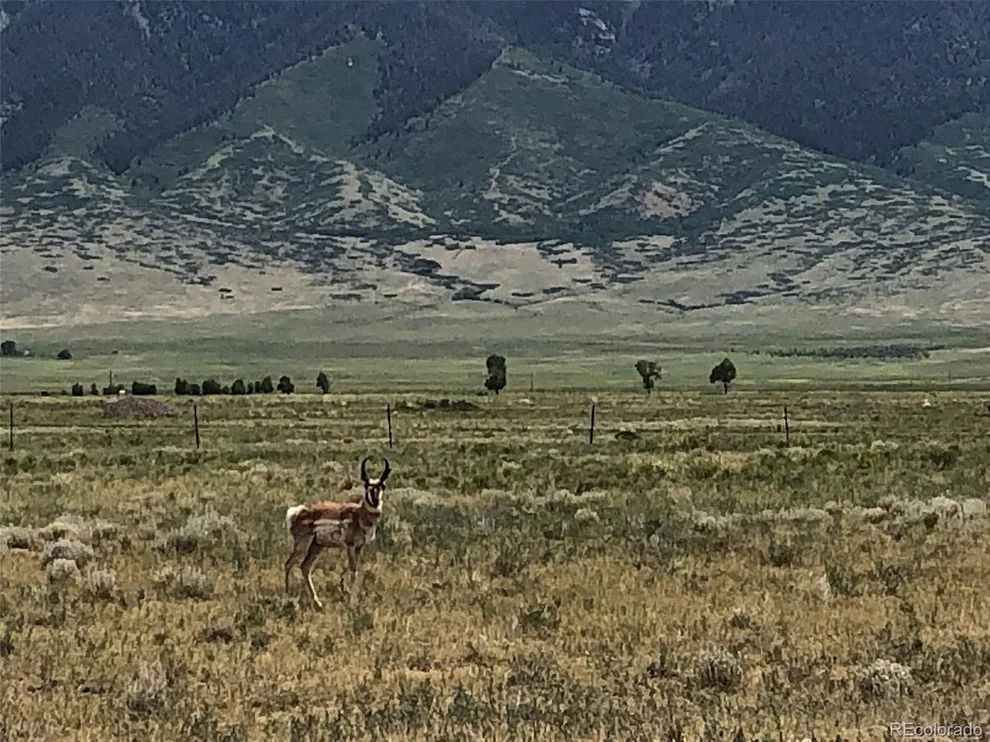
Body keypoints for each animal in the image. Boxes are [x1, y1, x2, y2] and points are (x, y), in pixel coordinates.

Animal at [283, 456, 390, 609]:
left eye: (382, 486)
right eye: (366, 486)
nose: (375, 501)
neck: (359, 514)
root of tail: (297, 511)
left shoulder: (359, 547)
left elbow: (356, 570)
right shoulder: (350, 546)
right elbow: (353, 570)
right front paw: (352, 602)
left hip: (317, 546)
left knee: (304, 566)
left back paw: (318, 603)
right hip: (303, 545)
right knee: (289, 563)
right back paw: (287, 597)